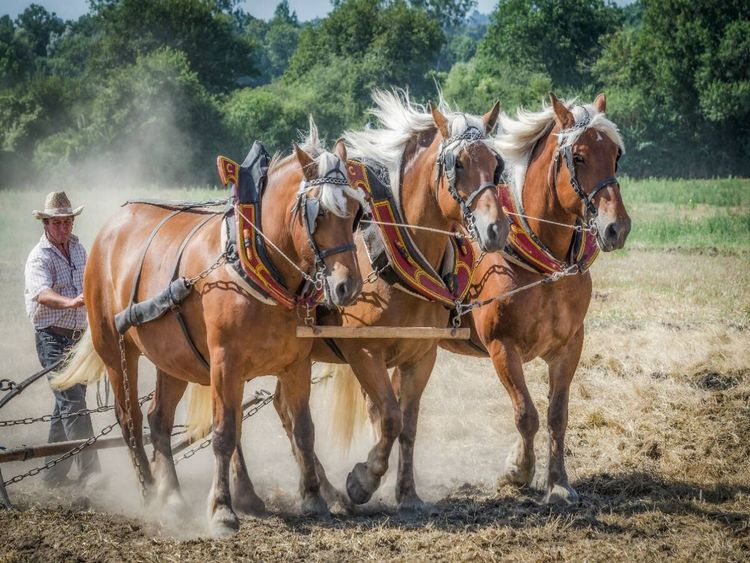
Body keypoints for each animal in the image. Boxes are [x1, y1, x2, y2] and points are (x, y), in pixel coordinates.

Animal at [53, 127, 367, 537]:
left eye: (356, 212)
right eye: (320, 212)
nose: (348, 286)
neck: (257, 263)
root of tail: (112, 225)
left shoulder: (295, 364)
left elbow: (303, 430)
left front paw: (314, 498)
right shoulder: (225, 363)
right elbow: (222, 434)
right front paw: (222, 510)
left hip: (173, 358)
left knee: (159, 419)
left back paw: (174, 496)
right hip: (115, 350)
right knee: (130, 420)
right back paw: (150, 493)